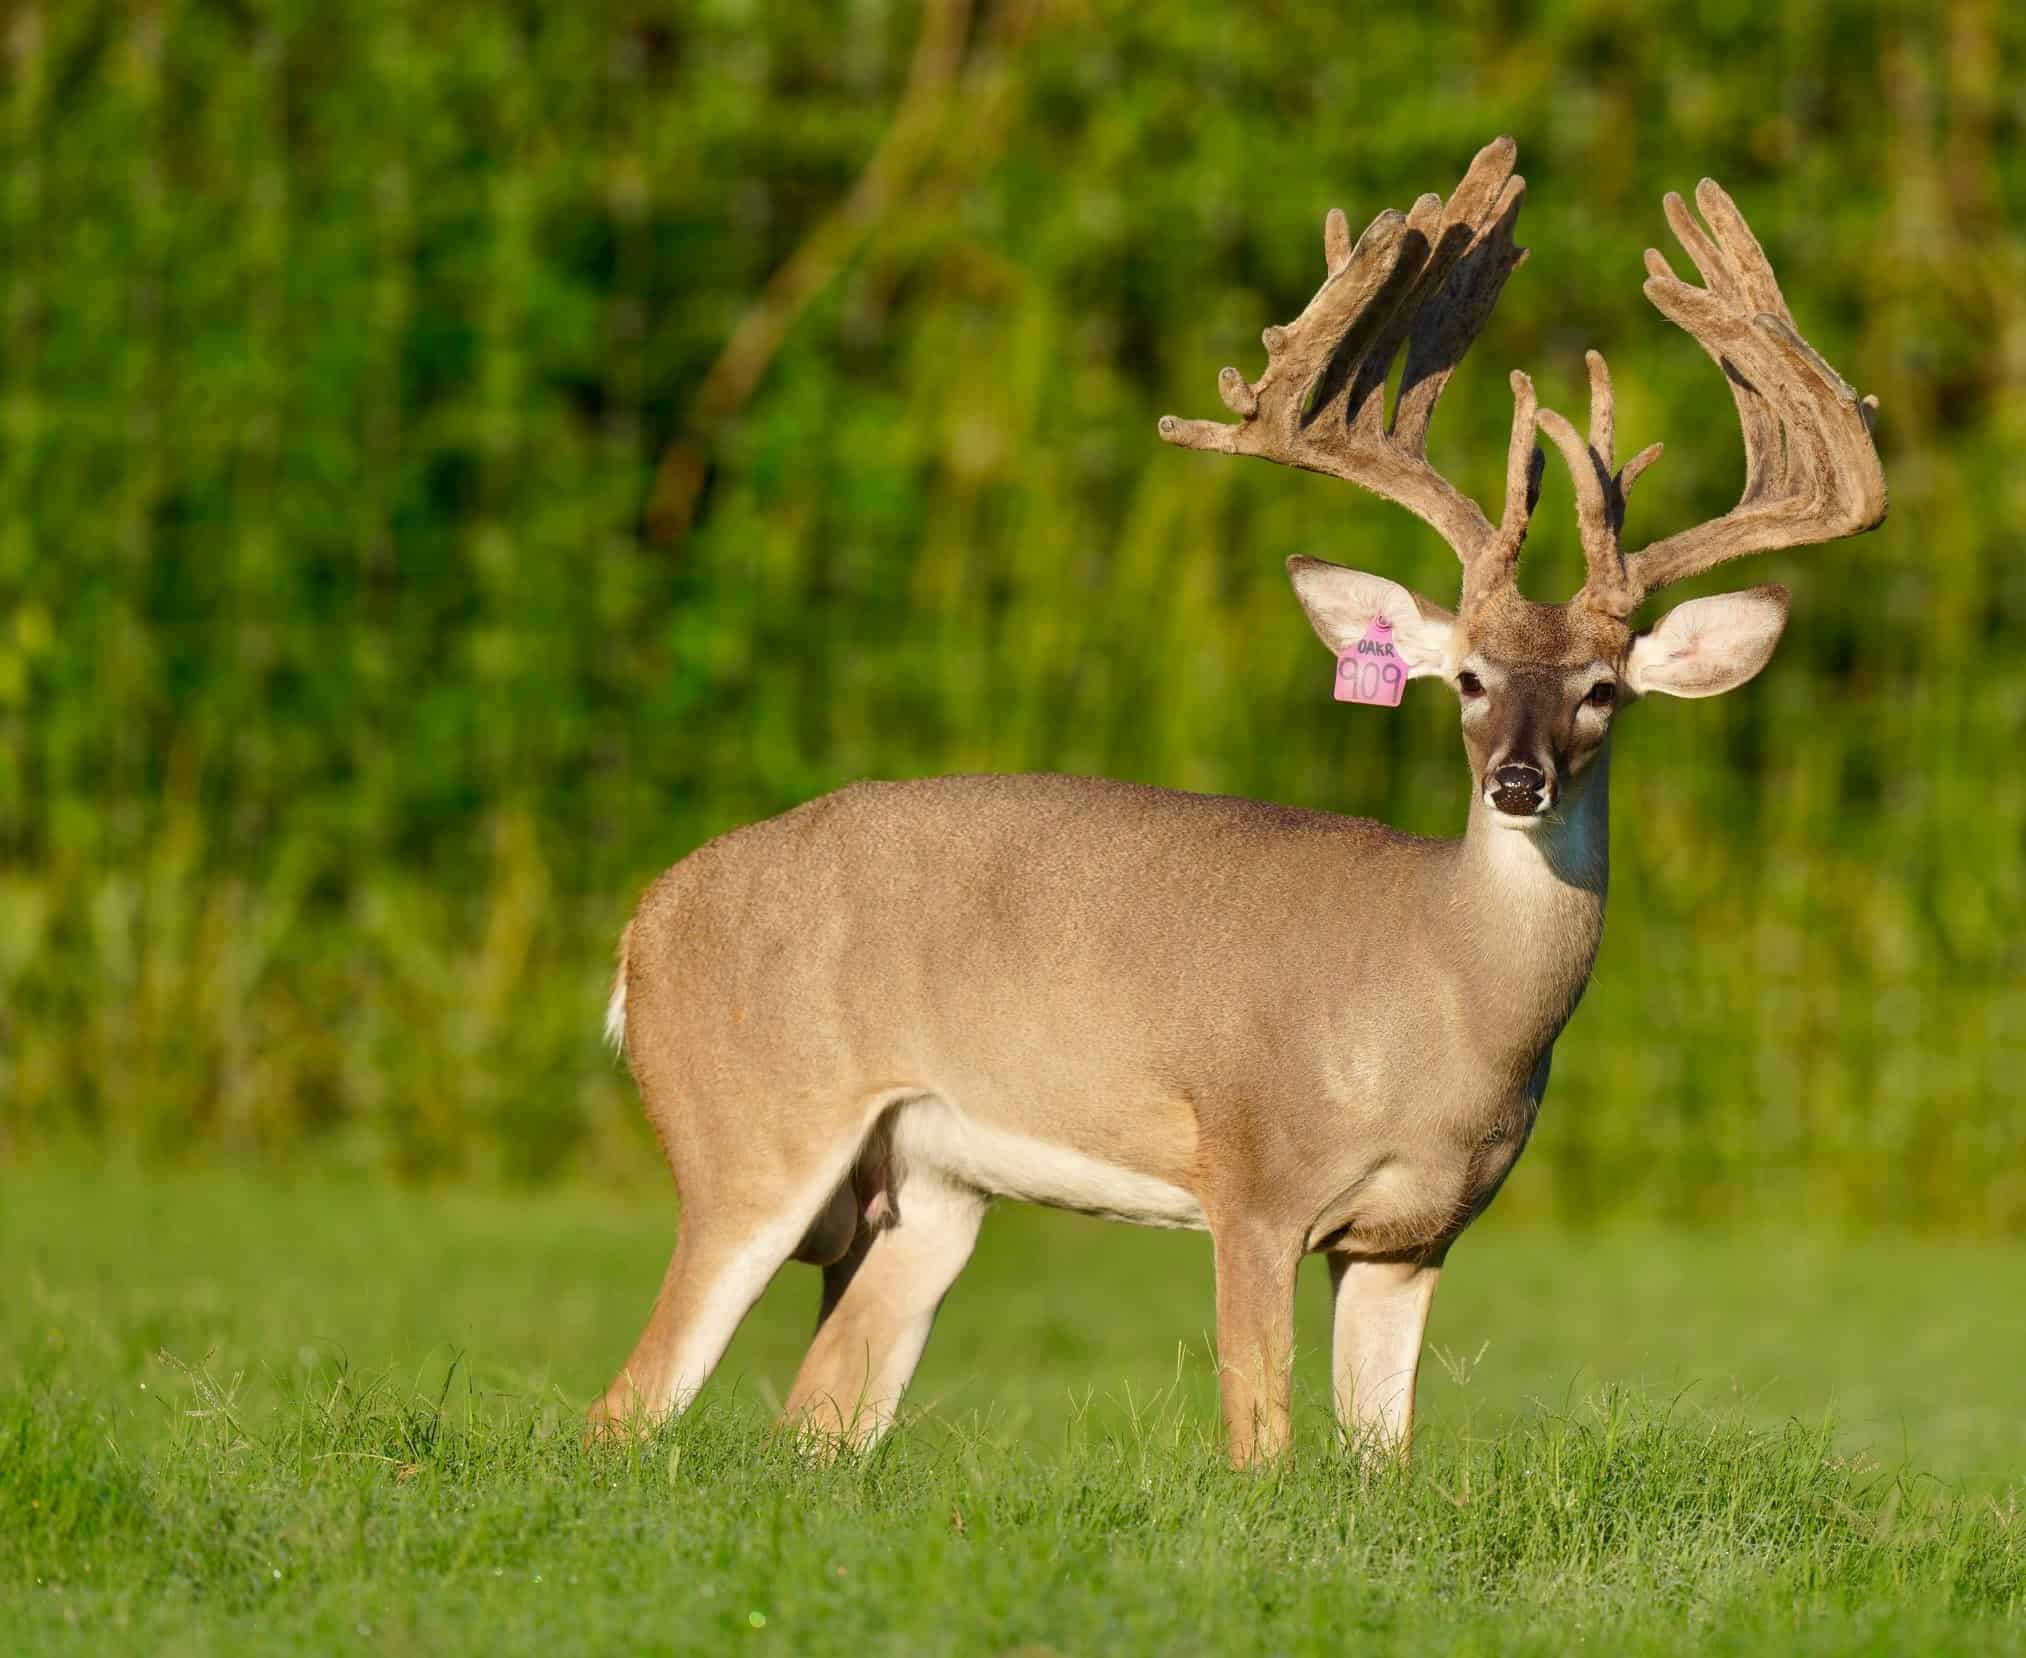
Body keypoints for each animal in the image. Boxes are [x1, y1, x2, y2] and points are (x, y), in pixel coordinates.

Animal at [592, 137, 1885, 1465]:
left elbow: (1380, 1461)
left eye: (1603, 691)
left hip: (928, 1191)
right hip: (752, 1127)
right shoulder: (1254, 1173)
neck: (1443, 1007)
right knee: (624, 1408)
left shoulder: (1412, 1235)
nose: (1517, 779)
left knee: (817, 1419)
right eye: (1468, 678)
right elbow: (1259, 1444)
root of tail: (644, 924)